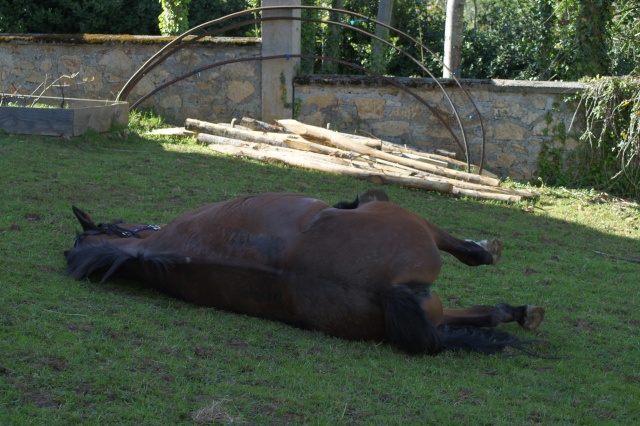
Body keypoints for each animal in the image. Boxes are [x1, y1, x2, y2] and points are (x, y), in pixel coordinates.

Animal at [65, 191, 544, 354]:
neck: (150, 249)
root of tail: (384, 290)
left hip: (431, 306)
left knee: (479, 315)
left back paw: (517, 312)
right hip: (408, 220)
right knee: (465, 256)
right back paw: (511, 290)